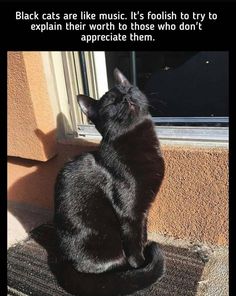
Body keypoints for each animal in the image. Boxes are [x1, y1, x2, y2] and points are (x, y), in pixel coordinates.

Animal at [54, 68, 165, 294]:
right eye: (111, 104)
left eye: (129, 89)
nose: (125, 97)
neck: (140, 142)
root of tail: (62, 260)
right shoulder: (130, 214)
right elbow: (134, 246)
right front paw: (142, 265)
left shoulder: (143, 211)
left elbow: (142, 235)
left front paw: (145, 249)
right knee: (113, 265)